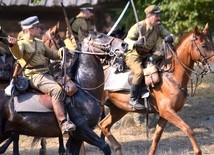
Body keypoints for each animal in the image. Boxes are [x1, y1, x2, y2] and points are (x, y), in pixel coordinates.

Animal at [0, 29, 128, 154]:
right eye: (100, 36)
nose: (124, 44)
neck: (84, 90)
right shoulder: (82, 131)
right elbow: (105, 147)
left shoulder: (77, 138)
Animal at [98, 23, 214, 155]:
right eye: (203, 45)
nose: (213, 65)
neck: (171, 76)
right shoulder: (167, 111)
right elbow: (188, 129)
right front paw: (197, 151)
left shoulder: (164, 115)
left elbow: (157, 137)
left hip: (119, 109)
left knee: (103, 125)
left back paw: (117, 148)